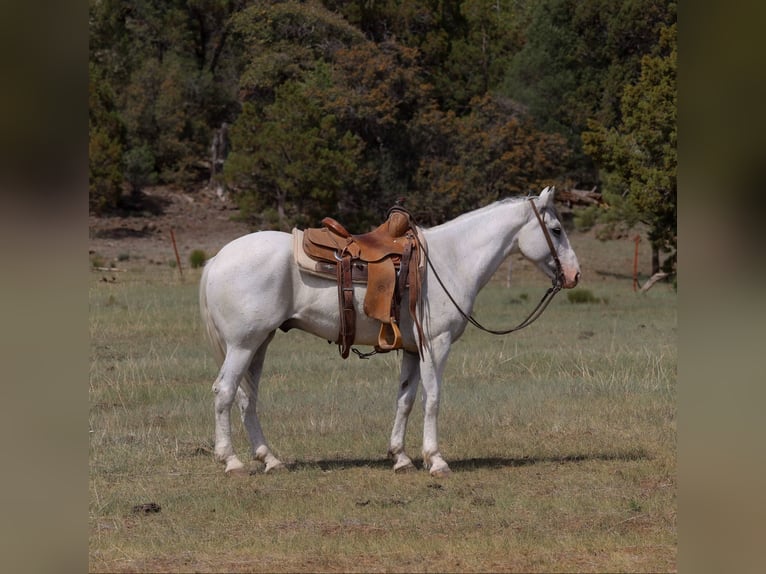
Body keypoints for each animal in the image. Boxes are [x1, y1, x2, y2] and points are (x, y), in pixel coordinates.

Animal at [200, 186, 580, 477]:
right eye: (556, 230)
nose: (574, 274)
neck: (450, 260)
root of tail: (217, 259)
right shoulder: (436, 345)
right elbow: (432, 398)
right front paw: (435, 460)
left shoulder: (412, 349)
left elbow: (406, 399)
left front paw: (400, 457)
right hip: (243, 344)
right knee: (224, 392)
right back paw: (232, 462)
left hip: (259, 343)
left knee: (247, 397)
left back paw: (270, 459)